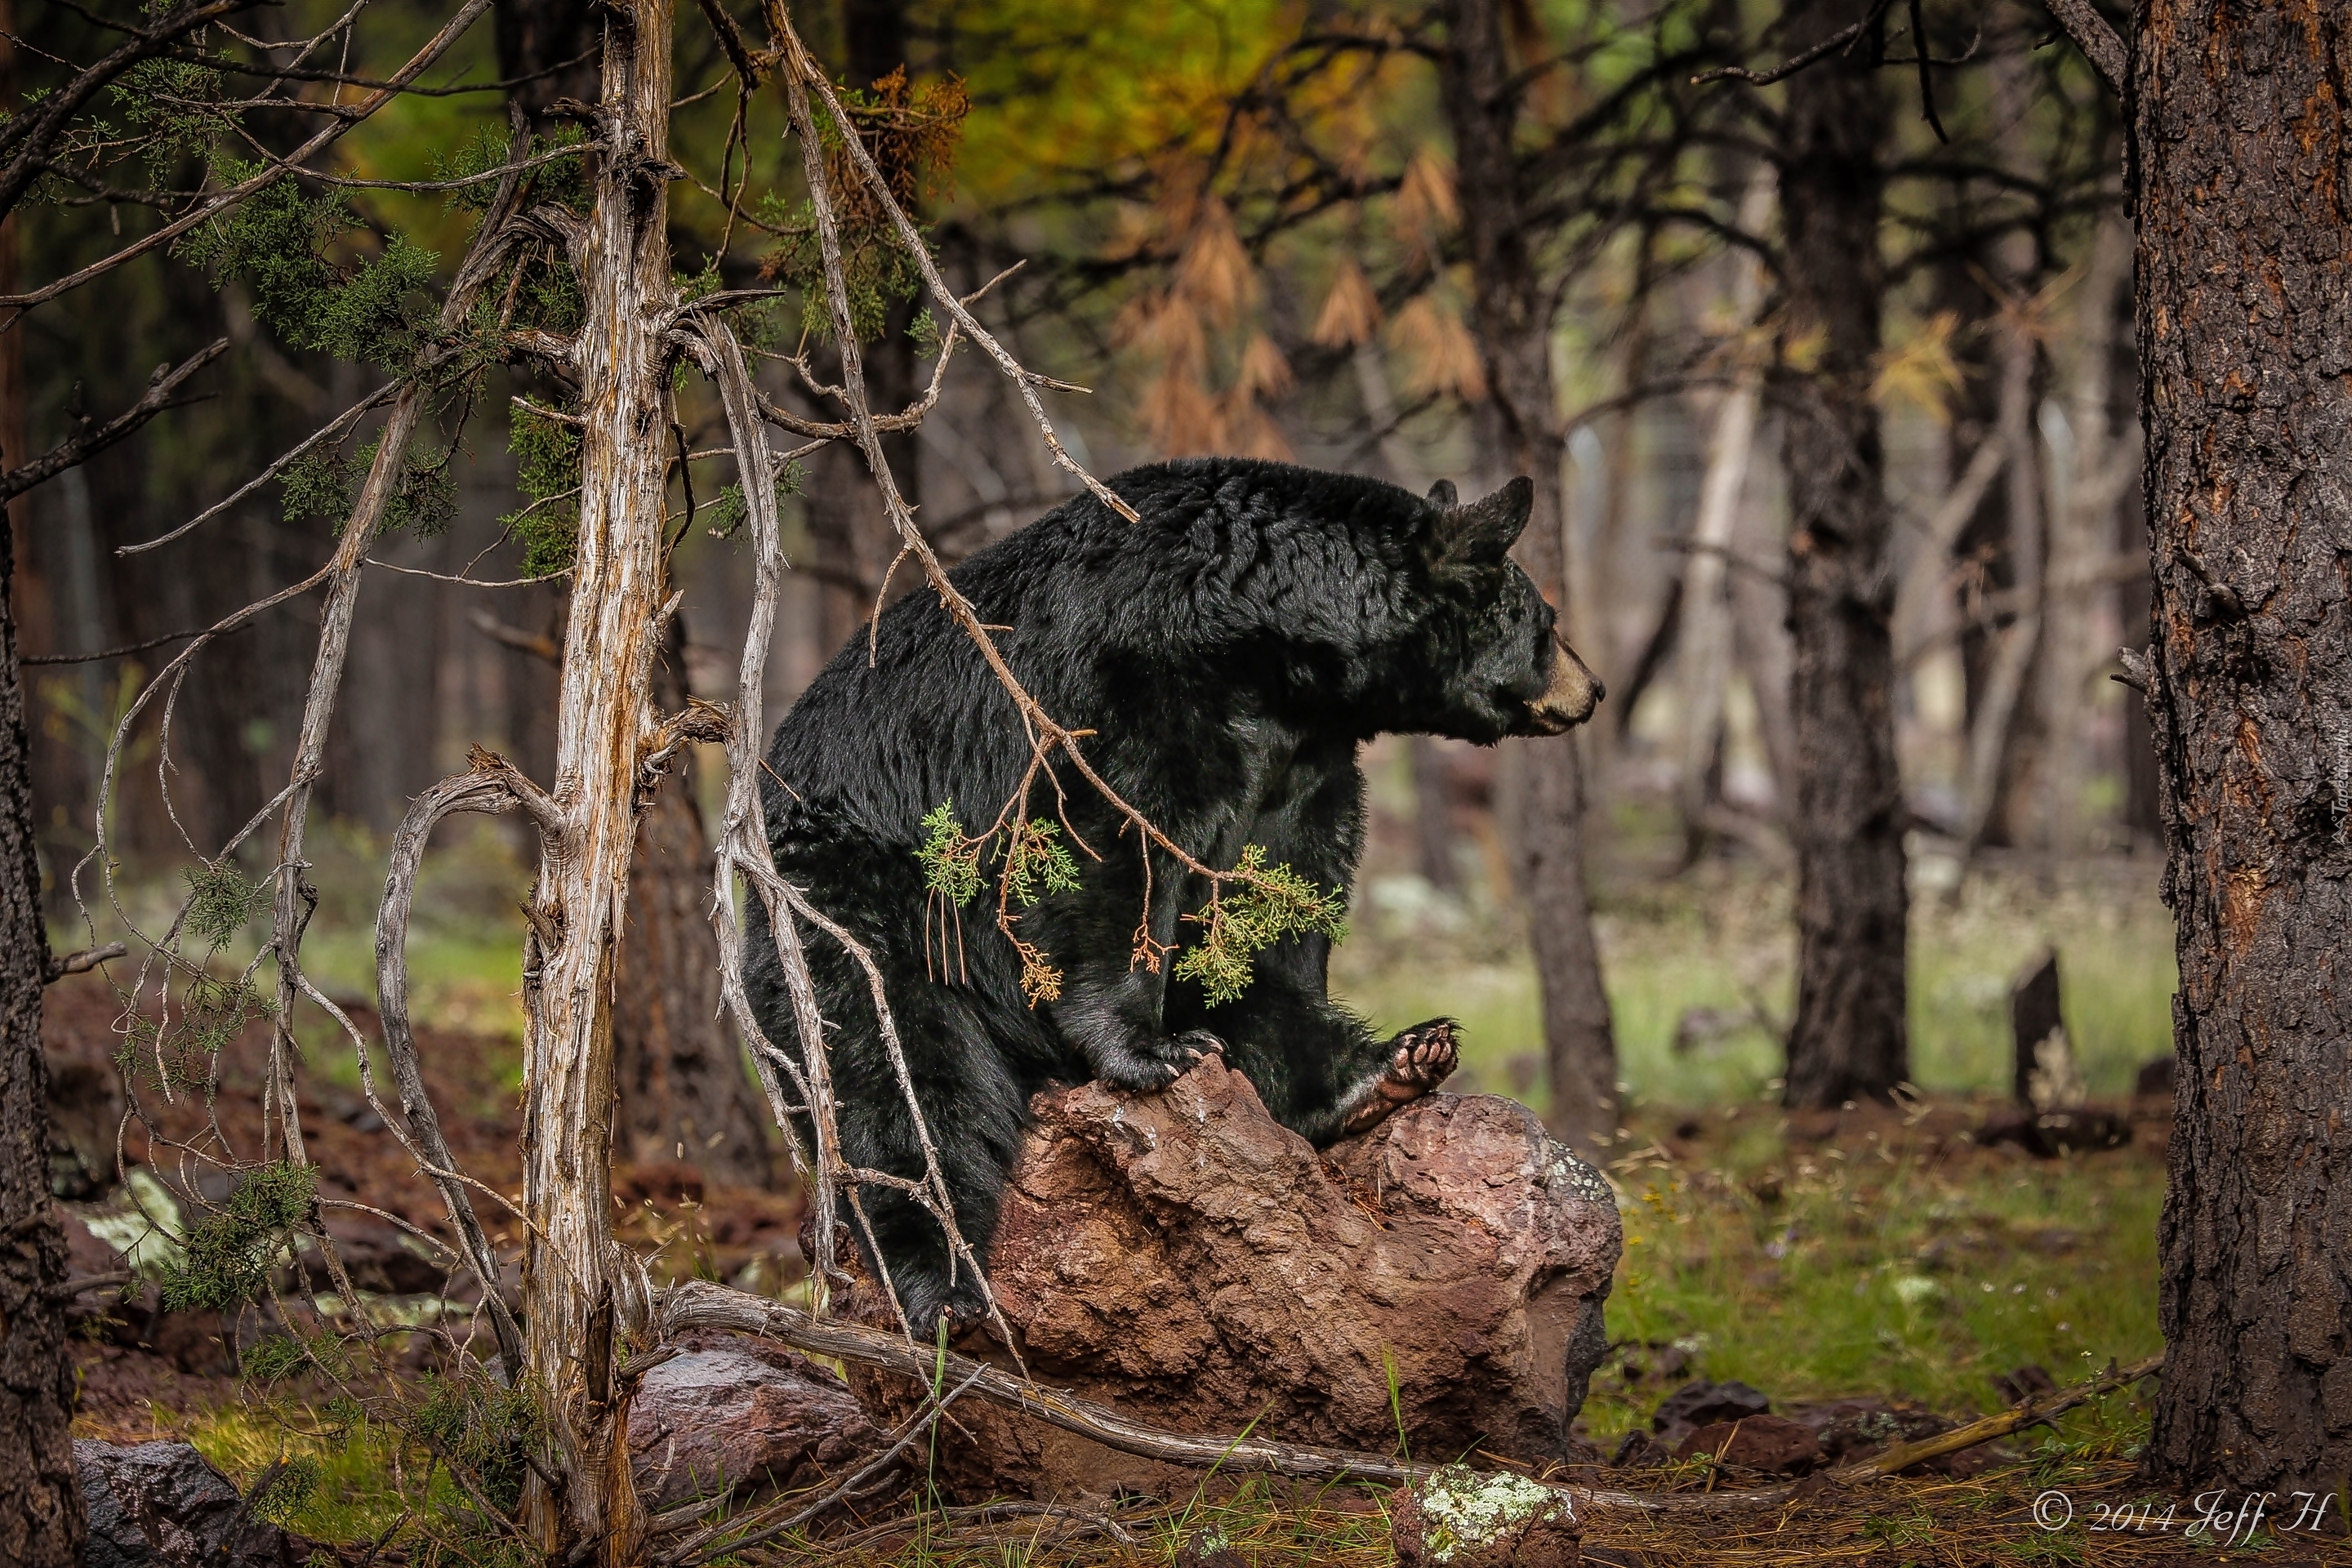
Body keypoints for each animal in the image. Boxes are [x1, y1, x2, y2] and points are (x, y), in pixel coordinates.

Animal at [743, 461, 1608, 1335]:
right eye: (1546, 620)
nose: (1596, 687)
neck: (1269, 637)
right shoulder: (1129, 690)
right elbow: (1117, 850)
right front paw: (1146, 1051)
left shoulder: (1304, 759)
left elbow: (1278, 907)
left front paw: (1335, 1066)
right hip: (862, 907)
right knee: (896, 1078)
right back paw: (942, 1282)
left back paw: (1391, 1065)